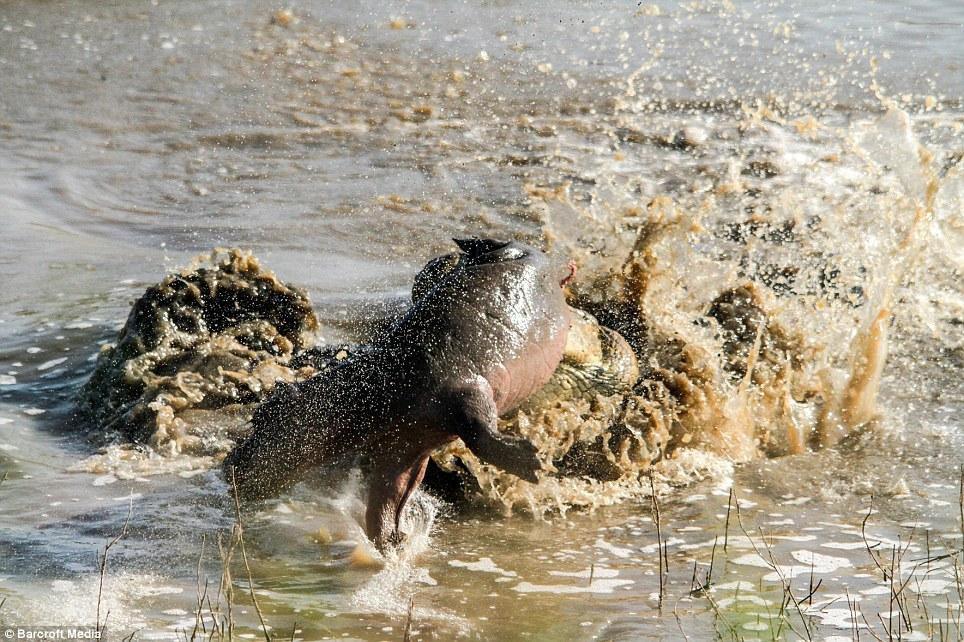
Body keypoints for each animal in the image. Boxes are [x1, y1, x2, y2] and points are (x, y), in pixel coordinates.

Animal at [226, 238, 572, 548]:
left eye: (262, 416)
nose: (229, 463)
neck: (366, 389)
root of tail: (549, 260)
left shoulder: (464, 390)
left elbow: (479, 432)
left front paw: (533, 463)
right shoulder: (403, 446)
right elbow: (389, 495)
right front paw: (392, 541)